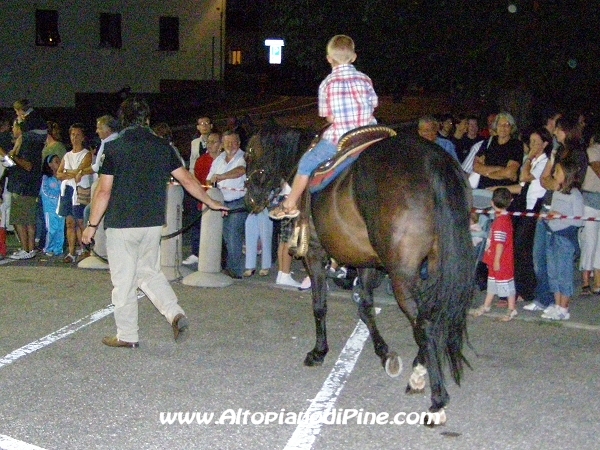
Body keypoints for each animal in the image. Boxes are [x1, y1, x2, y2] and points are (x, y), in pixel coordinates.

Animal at [244, 125, 474, 424]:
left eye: (248, 153)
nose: (249, 199)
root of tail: (432, 161)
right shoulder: (364, 260)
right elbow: (365, 307)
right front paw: (385, 353)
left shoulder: (314, 254)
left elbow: (319, 306)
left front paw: (318, 352)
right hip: (434, 267)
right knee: (432, 314)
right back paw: (419, 369)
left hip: (402, 275)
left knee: (424, 323)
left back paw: (436, 398)